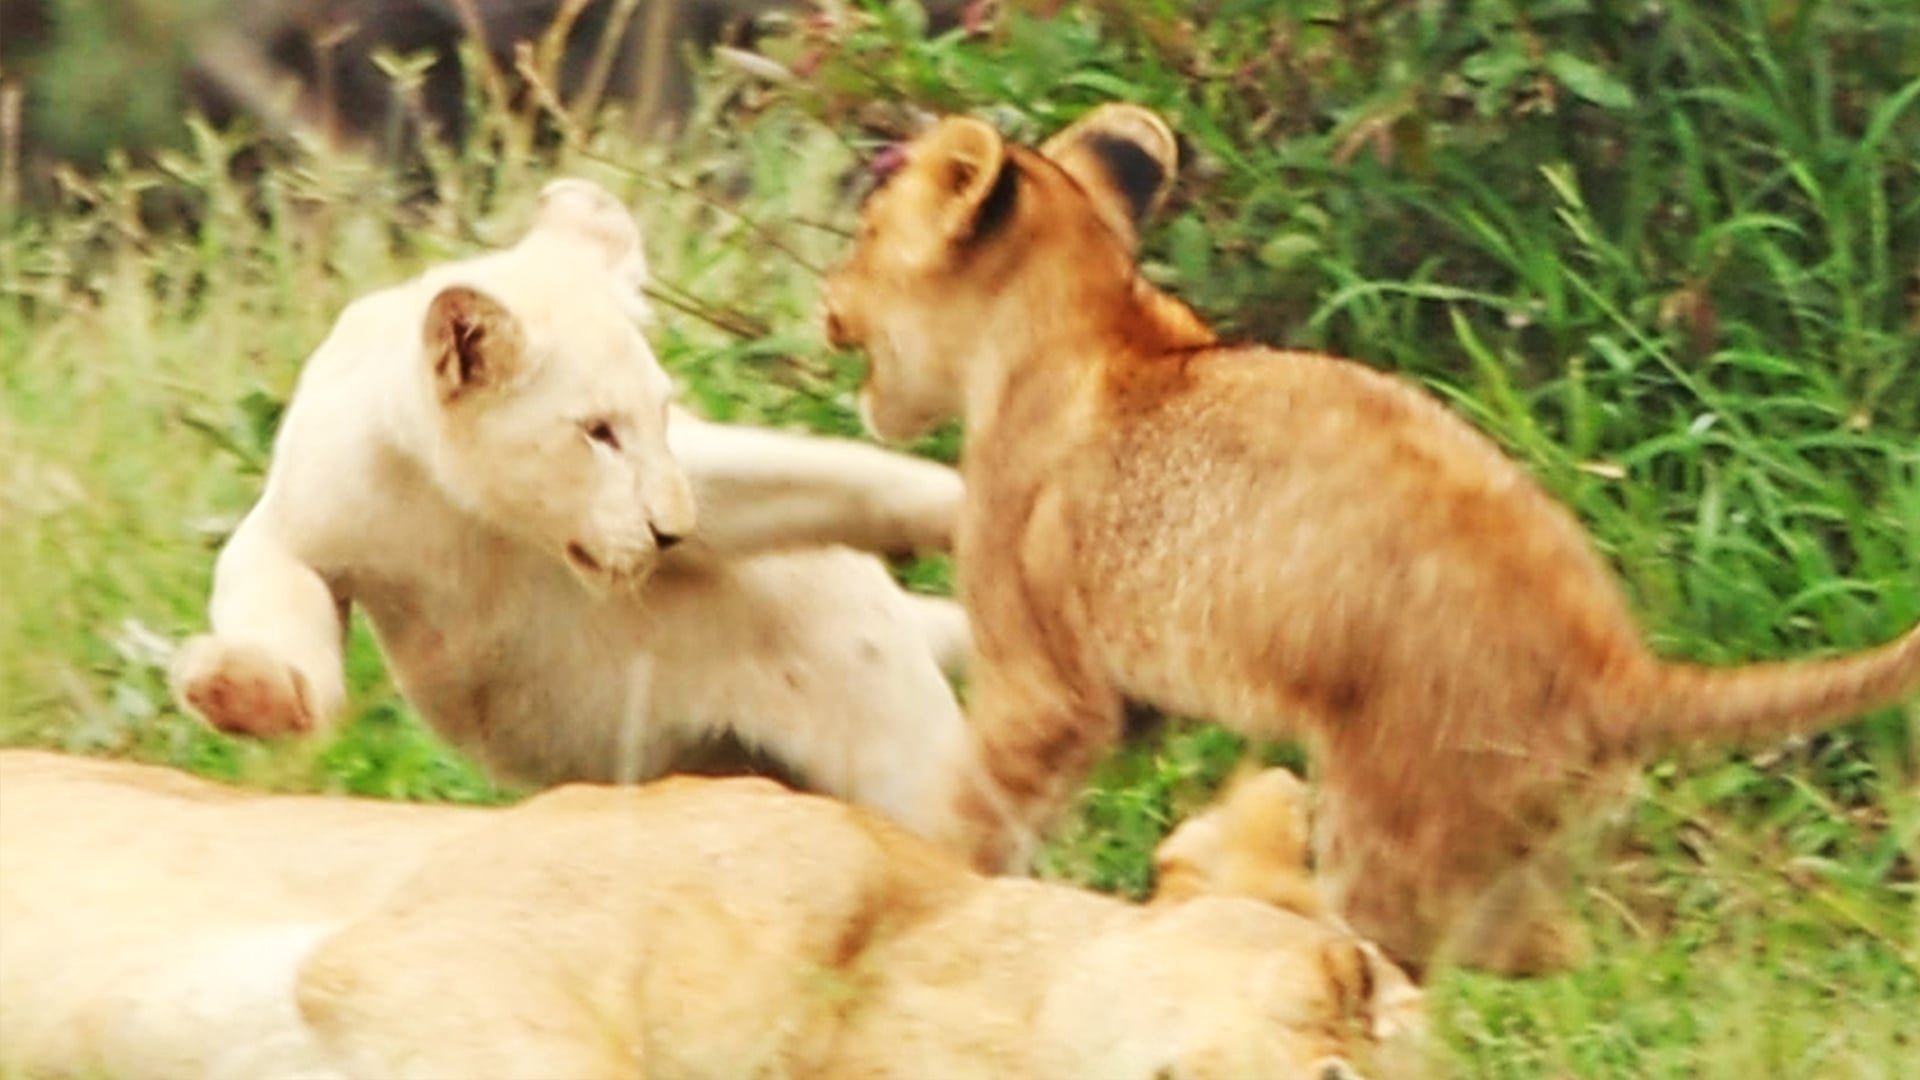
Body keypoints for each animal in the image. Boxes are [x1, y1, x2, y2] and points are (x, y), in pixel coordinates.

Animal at [171, 178, 973, 835]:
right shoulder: (302, 519)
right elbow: (278, 600)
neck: (464, 511)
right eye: (597, 432)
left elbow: (831, 477)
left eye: (657, 415)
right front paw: (244, 695)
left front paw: (969, 512)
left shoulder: (696, 476)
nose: (670, 534)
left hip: (900, 756)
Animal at [819, 103, 1920, 975]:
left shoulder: (1041, 685)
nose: (825, 303)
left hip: (1390, 830)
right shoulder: (1121, 696)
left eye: (865, 229)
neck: (1084, 320)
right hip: (1515, 856)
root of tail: (1618, 668)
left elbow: (972, 814)